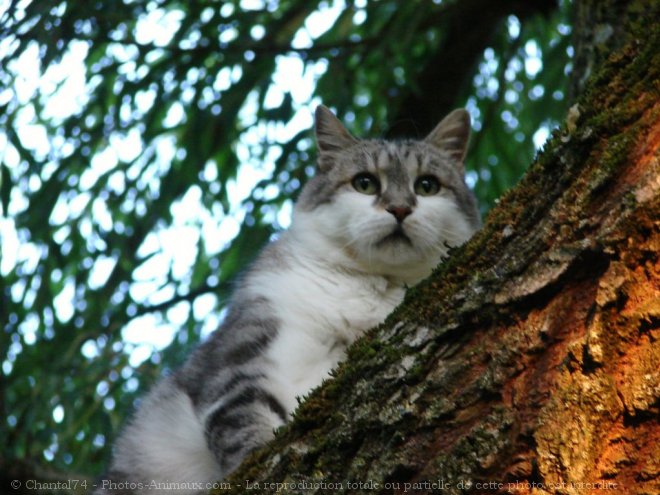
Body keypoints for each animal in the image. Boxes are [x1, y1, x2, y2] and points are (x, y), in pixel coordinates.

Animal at [95, 103, 480, 492]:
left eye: (427, 186)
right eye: (365, 183)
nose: (400, 208)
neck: (374, 286)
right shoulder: (244, 356)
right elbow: (244, 426)